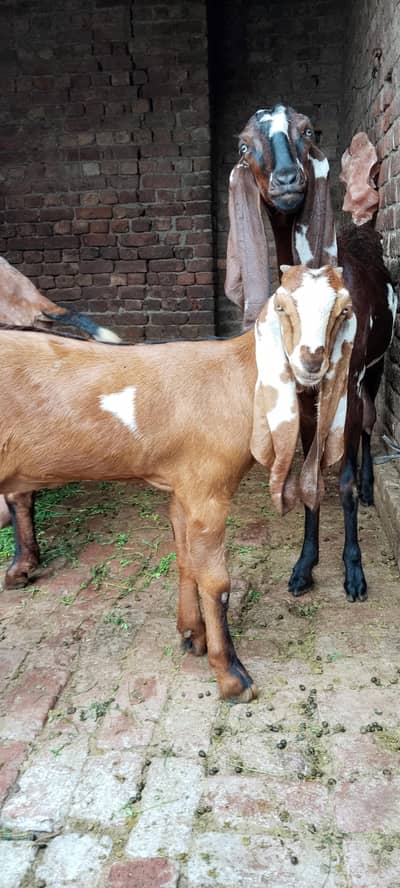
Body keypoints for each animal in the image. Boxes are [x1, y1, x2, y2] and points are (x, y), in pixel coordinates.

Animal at [225, 104, 397, 601]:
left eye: (307, 131)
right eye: (244, 144)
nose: (286, 180)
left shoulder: (346, 380)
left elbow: (341, 481)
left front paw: (354, 571)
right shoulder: (303, 393)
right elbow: (310, 474)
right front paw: (304, 565)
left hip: (372, 368)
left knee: (368, 423)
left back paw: (368, 485)